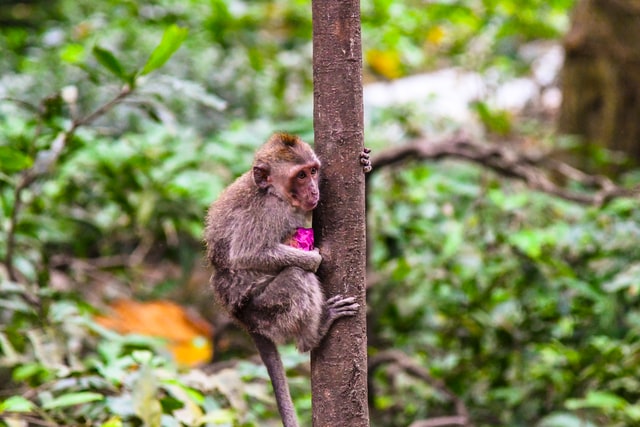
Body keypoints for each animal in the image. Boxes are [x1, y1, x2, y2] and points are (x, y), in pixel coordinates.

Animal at [204, 133, 372, 427]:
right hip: (262, 308)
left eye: (313, 172)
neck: (274, 193)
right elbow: (247, 253)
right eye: (300, 176)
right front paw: (314, 259)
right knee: (296, 277)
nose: (314, 191)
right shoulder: (269, 212)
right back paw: (314, 333)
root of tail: (240, 317)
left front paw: (365, 163)